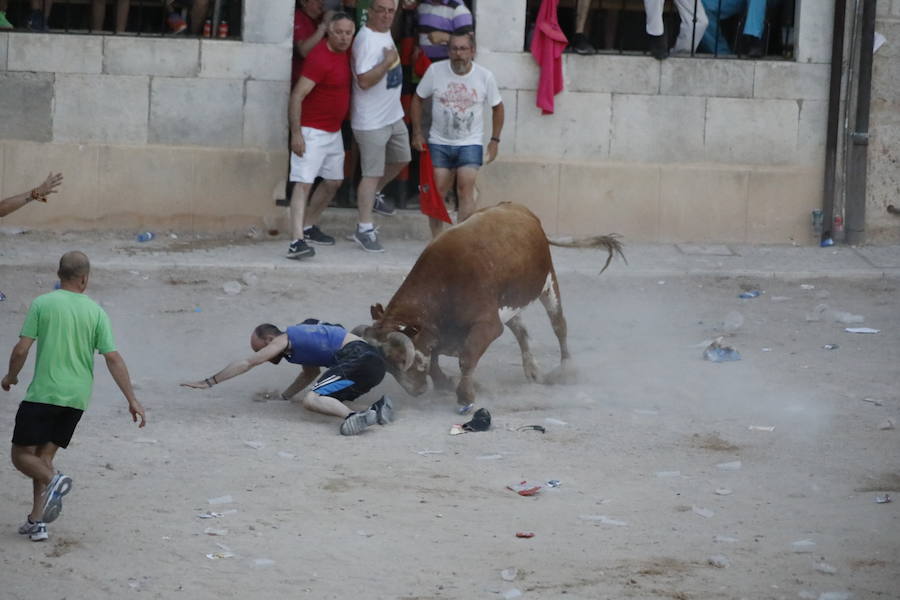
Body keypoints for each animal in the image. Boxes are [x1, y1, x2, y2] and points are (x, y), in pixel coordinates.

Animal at [358, 204, 624, 410]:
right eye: (387, 367)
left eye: (401, 359)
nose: (416, 391)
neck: (444, 286)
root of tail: (523, 210)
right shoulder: (441, 333)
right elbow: (434, 360)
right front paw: (446, 383)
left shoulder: (488, 325)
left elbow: (466, 358)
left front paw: (465, 394)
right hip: (509, 305)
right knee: (521, 330)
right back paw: (532, 370)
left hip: (548, 283)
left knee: (559, 325)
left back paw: (566, 370)